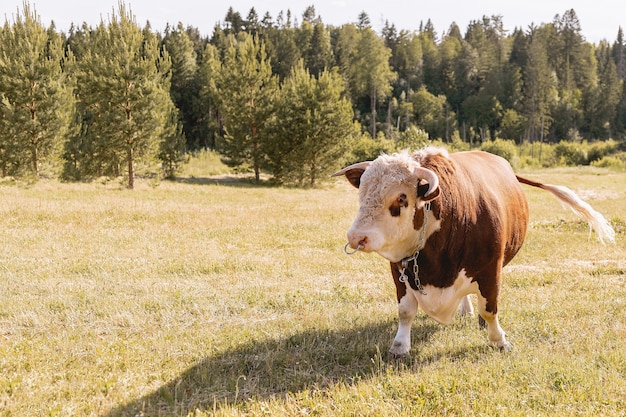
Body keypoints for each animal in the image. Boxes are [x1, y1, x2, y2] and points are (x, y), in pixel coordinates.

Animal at [332, 146, 616, 354]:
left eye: (401, 198)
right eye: (362, 194)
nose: (356, 237)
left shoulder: (490, 270)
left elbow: (490, 309)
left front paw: (499, 340)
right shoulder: (400, 267)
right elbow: (405, 310)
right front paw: (400, 346)